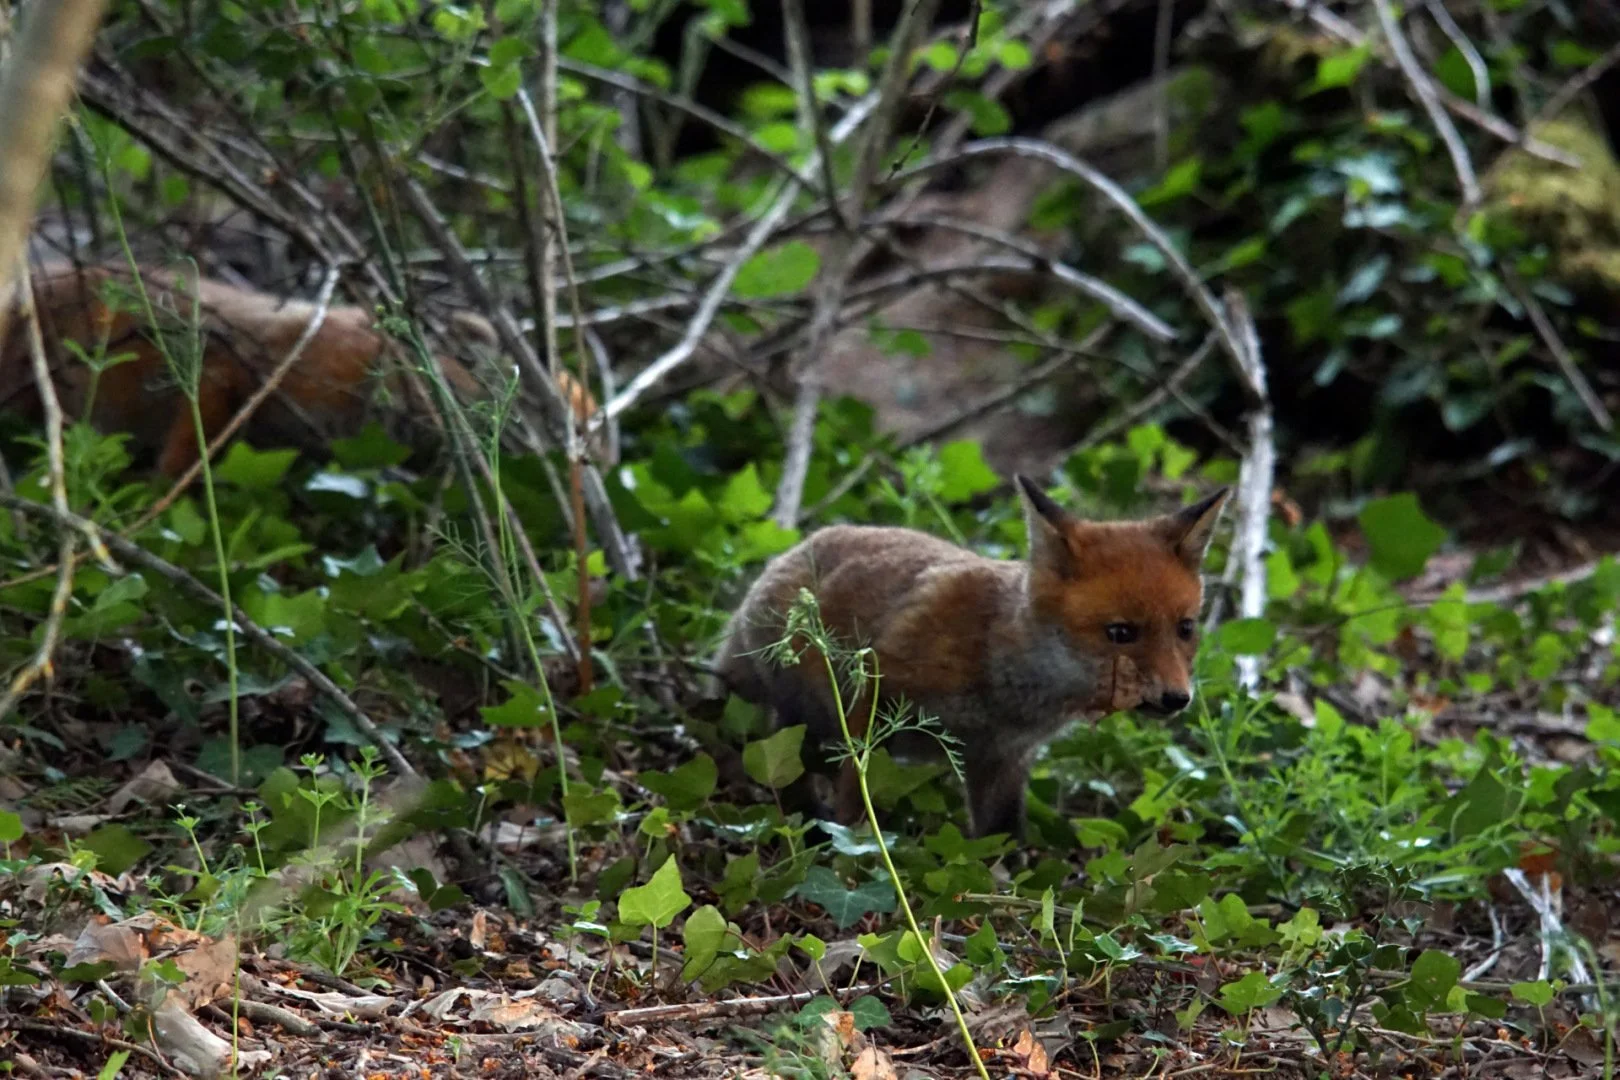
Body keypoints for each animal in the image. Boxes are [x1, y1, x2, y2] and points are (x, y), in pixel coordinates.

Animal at [714, 475, 1231, 840]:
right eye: (1121, 633)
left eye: (1185, 628)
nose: (1177, 698)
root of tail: (794, 550)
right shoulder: (876, 698)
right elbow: (857, 800)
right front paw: (858, 847)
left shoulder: (1003, 759)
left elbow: (1001, 836)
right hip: (798, 717)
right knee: (785, 766)